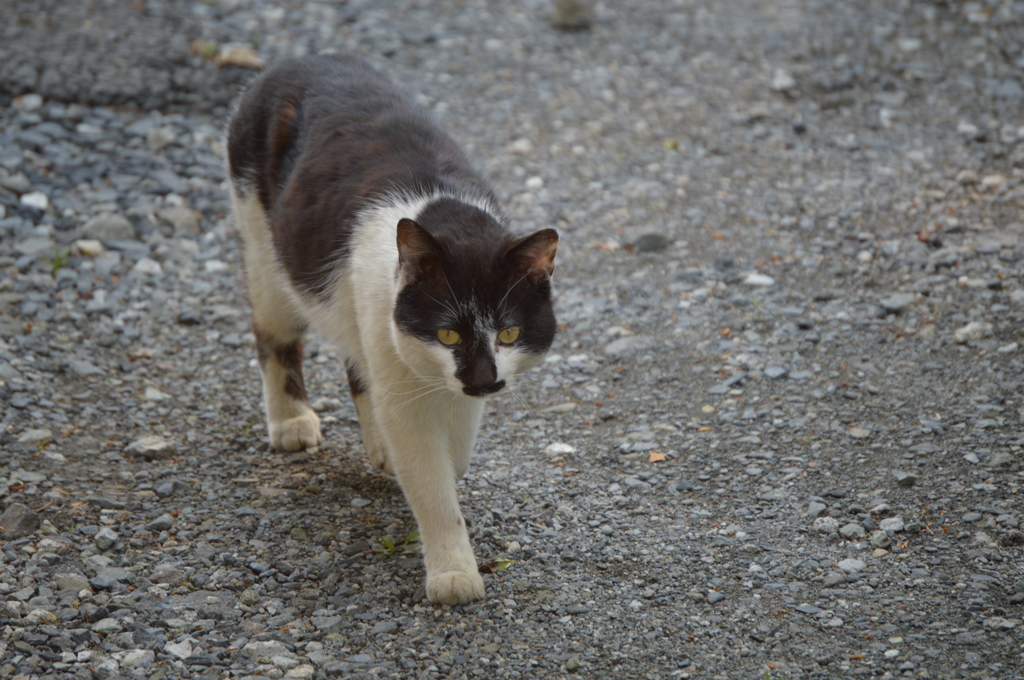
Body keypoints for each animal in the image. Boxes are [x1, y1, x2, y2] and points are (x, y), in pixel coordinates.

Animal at [225, 54, 561, 606]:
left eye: (509, 334)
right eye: (448, 334)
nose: (483, 379)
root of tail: (298, 60)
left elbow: (455, 452)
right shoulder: (409, 377)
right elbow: (430, 480)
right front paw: (453, 573)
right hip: (264, 245)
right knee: (273, 330)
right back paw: (291, 420)